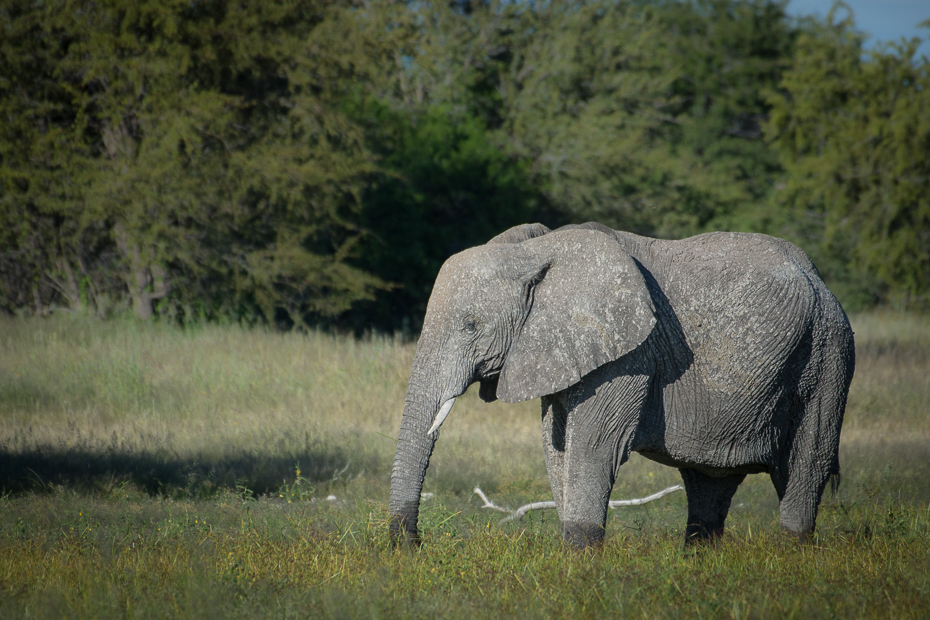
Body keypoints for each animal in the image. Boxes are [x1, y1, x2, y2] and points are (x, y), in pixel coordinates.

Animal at [386, 222, 856, 548]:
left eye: (470, 325)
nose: (412, 545)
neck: (538, 250)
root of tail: (821, 283)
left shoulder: (630, 353)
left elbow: (595, 444)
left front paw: (580, 559)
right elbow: (556, 447)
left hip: (826, 356)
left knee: (805, 465)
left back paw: (791, 553)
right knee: (709, 482)